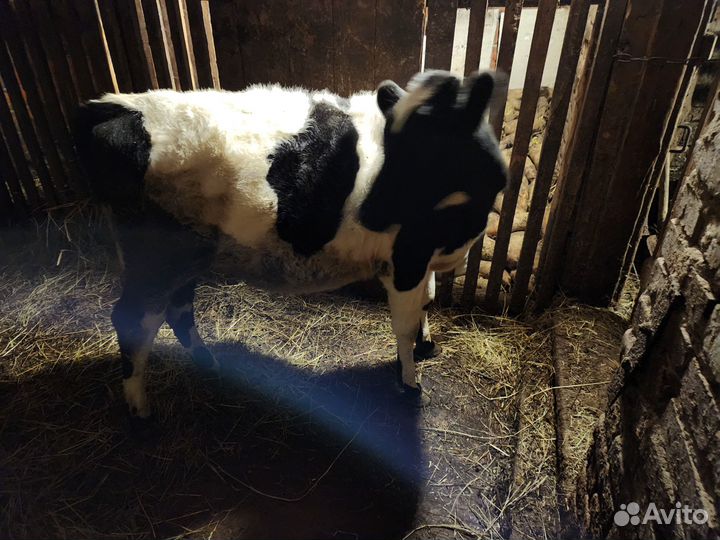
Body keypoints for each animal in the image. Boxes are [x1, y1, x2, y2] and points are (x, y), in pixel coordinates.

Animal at [75, 70, 508, 419]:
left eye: (427, 144)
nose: (370, 213)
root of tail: (113, 106)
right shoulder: (406, 258)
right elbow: (403, 322)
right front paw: (409, 381)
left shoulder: (421, 257)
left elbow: (427, 302)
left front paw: (426, 344)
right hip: (157, 256)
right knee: (135, 318)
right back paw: (139, 407)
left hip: (191, 251)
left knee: (177, 309)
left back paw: (207, 360)